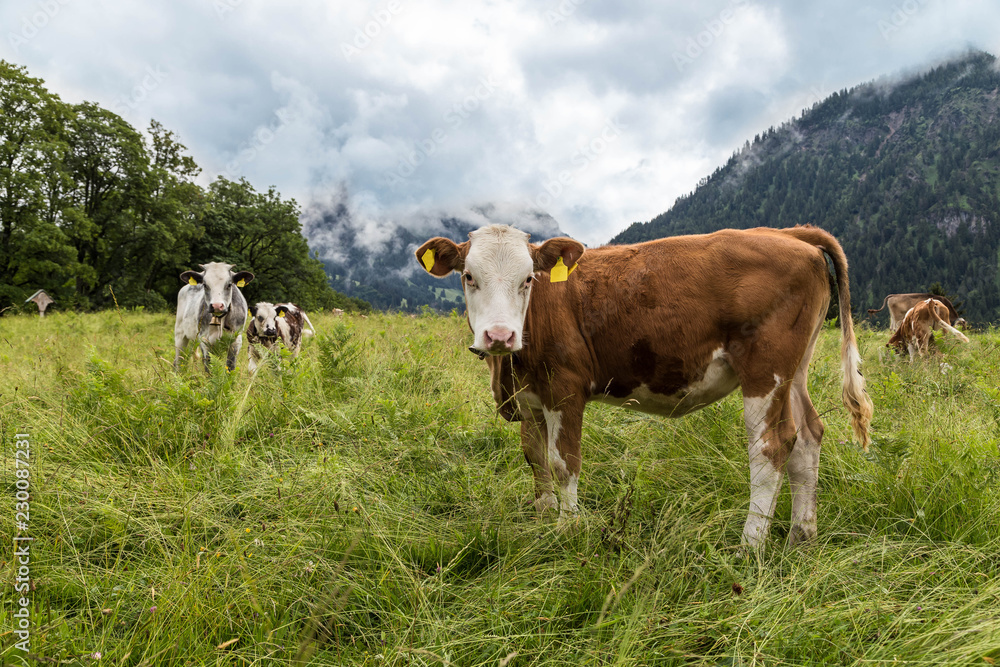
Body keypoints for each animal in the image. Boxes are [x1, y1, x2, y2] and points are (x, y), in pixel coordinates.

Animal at [416, 224, 873, 549]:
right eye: (468, 276)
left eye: (528, 279)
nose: (499, 335)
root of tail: (788, 233)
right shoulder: (528, 399)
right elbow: (535, 460)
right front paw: (543, 519)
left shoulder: (566, 389)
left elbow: (564, 462)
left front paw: (567, 531)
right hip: (795, 369)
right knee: (808, 437)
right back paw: (801, 537)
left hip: (766, 366)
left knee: (771, 447)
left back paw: (750, 546)